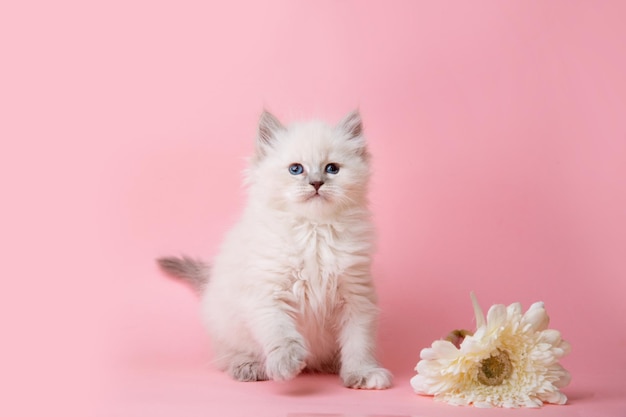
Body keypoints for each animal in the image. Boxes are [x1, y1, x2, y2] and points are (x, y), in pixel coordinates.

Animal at [156, 109, 390, 388]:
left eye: (332, 169)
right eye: (296, 169)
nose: (316, 183)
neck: (314, 230)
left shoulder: (356, 296)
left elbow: (358, 343)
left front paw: (362, 373)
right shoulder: (268, 293)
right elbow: (281, 332)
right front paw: (287, 363)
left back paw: (333, 364)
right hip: (227, 324)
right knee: (229, 355)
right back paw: (250, 366)